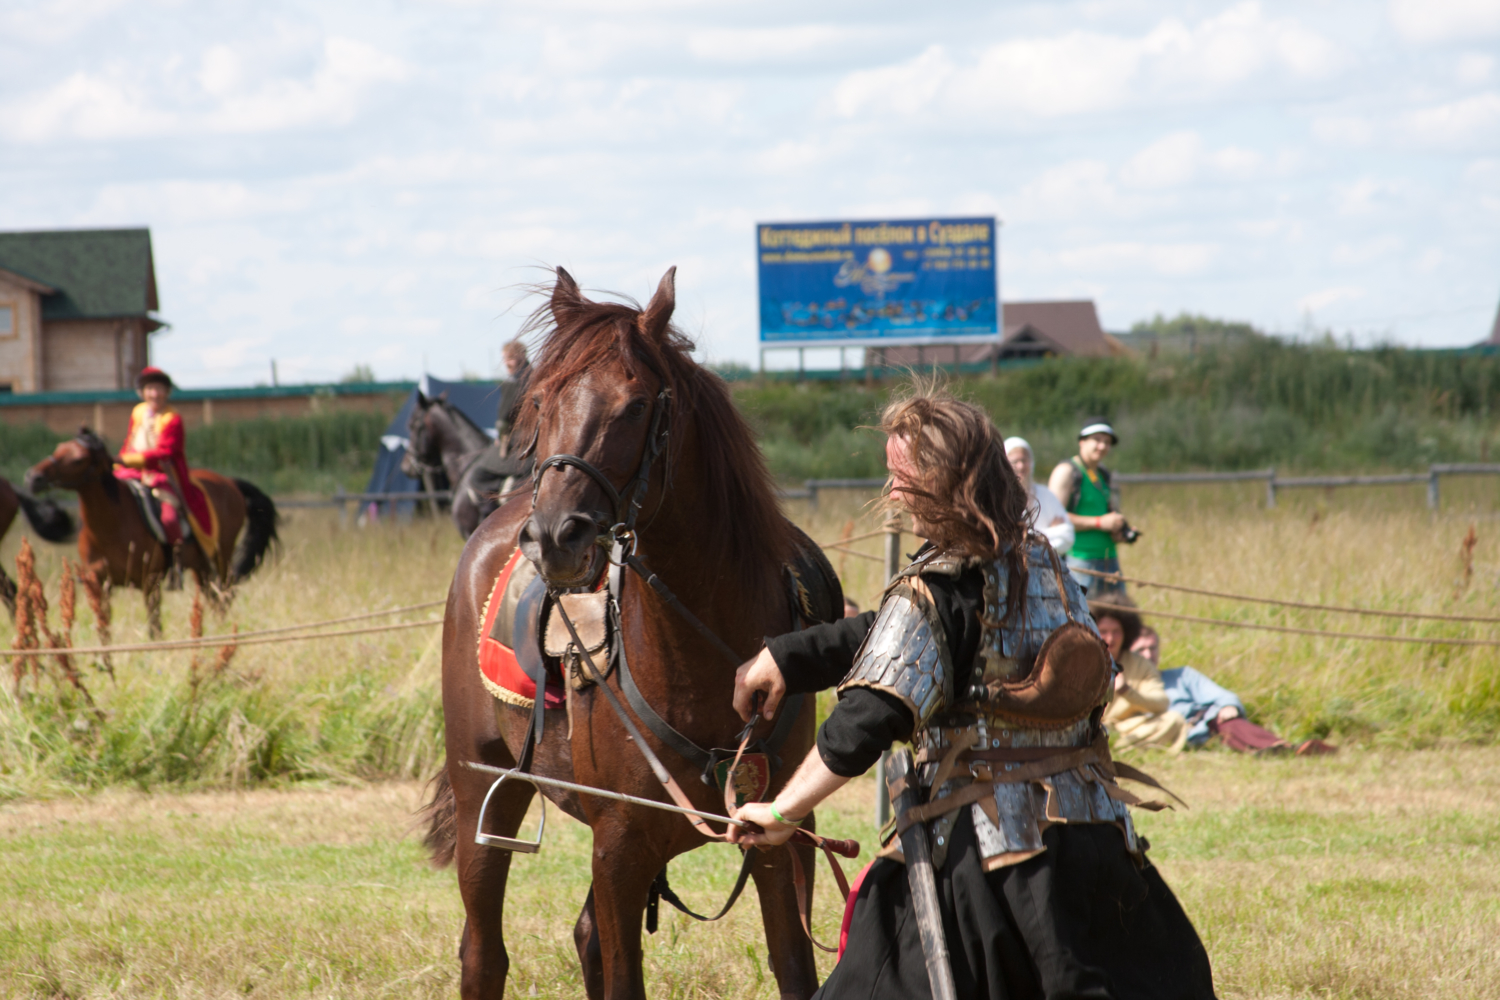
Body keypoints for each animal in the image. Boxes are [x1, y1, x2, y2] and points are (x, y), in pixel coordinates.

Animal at [27, 428, 282, 632]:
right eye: (59, 448)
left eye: (78, 459)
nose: (33, 477)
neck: (110, 527)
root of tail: (229, 481)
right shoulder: (99, 582)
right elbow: (104, 628)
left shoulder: (150, 581)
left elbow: (154, 627)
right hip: (201, 566)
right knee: (212, 595)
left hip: (221, 556)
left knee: (224, 594)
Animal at [417, 269, 828, 1000]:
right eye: (541, 401)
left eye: (635, 406)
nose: (553, 536)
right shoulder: (618, 846)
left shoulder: (783, 838)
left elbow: (794, 969)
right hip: (483, 796)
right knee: (483, 953)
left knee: (582, 938)